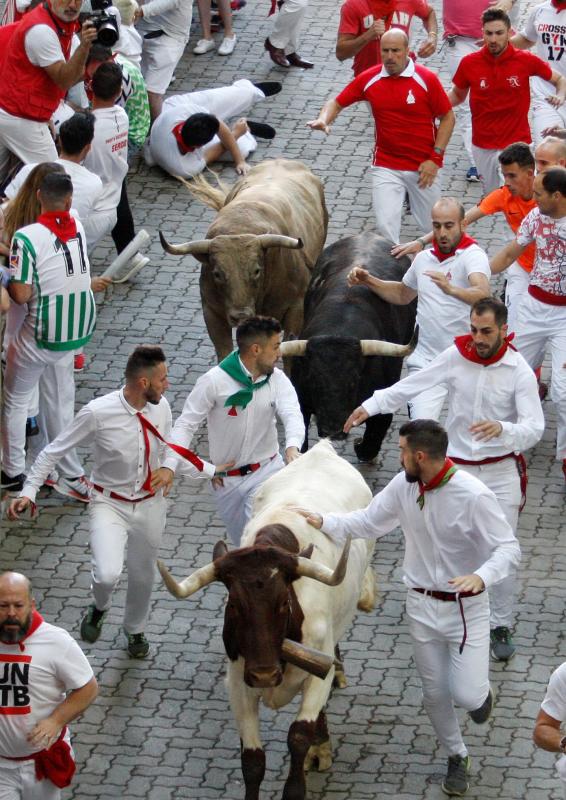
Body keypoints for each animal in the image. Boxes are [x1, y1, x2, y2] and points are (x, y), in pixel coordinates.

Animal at [288, 234, 418, 462]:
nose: (333, 429)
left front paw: (360, 446)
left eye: (354, 379)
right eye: (313, 379)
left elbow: (375, 434)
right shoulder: (300, 399)